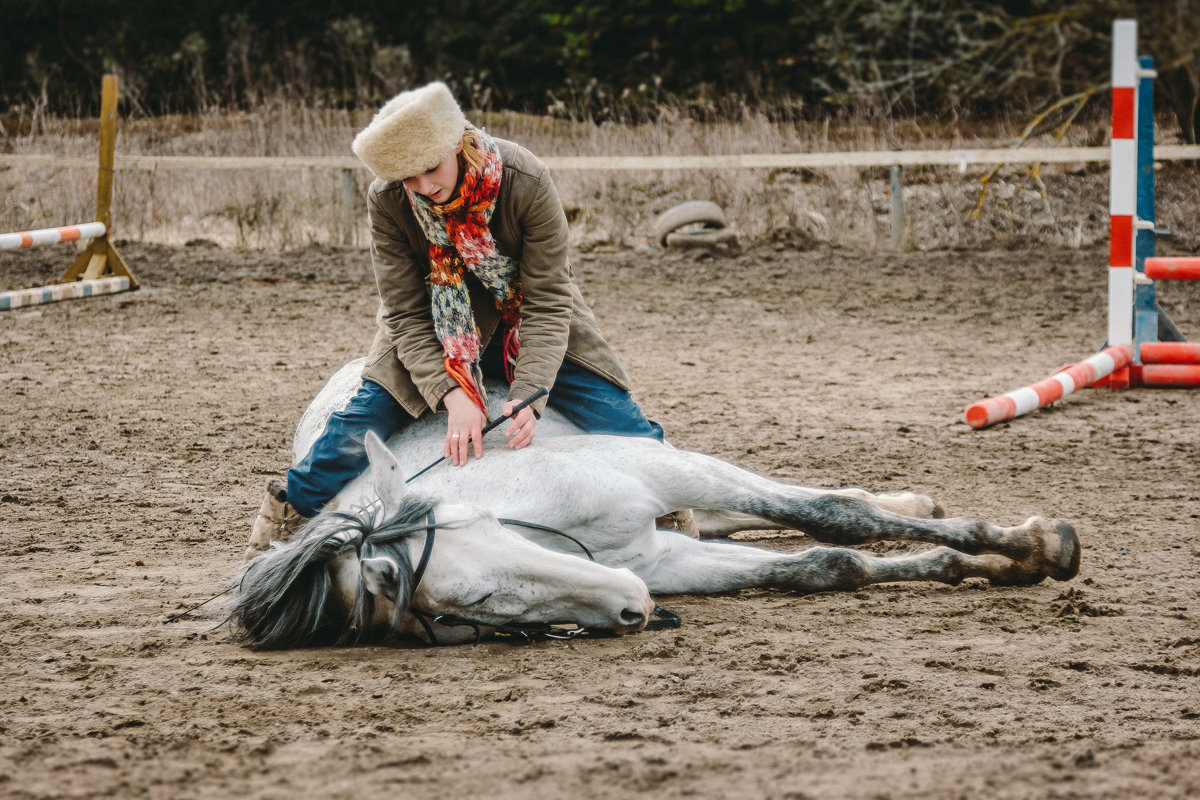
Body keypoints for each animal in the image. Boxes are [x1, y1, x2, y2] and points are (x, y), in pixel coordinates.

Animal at [225, 362, 1080, 652]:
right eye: (464, 619)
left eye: (482, 593)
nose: (631, 607)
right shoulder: (661, 557)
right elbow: (822, 561)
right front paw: (973, 563)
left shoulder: (667, 475)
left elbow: (836, 515)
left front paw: (1032, 544)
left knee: (810, 501)